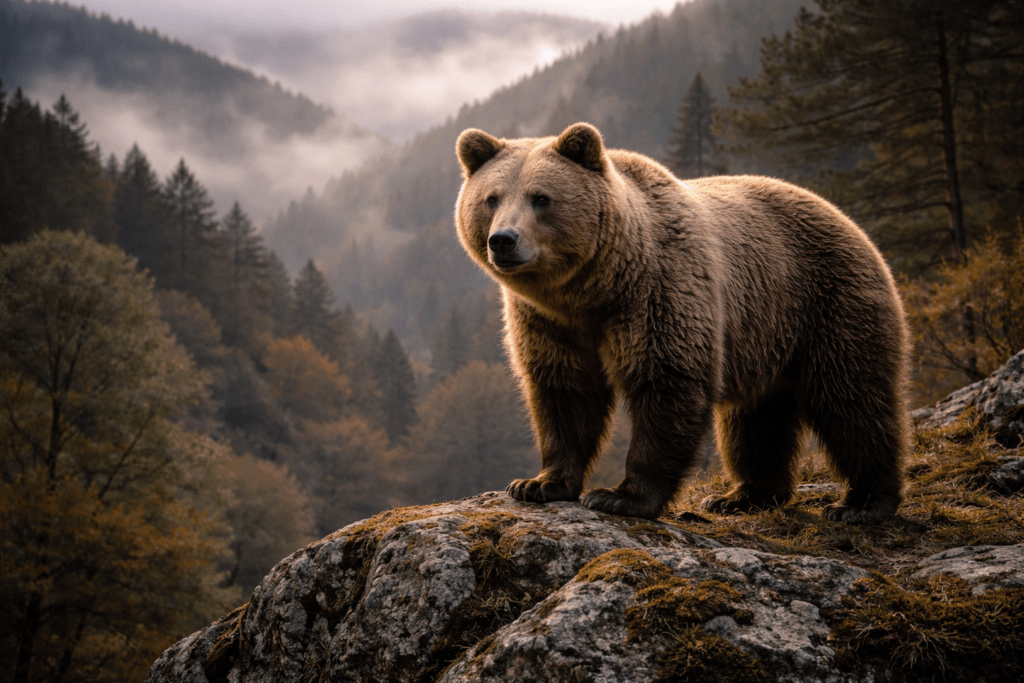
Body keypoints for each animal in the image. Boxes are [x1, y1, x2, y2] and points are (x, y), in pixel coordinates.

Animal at [454, 121, 908, 523]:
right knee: (754, 421)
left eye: (541, 198)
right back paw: (743, 496)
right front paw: (539, 484)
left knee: (850, 401)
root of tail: (843, 216)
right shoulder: (549, 322)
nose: (503, 240)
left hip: (827, 303)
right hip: (765, 334)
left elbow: (666, 382)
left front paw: (620, 496)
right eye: (492, 198)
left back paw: (862, 503)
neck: (593, 289)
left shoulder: (660, 292)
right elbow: (564, 391)